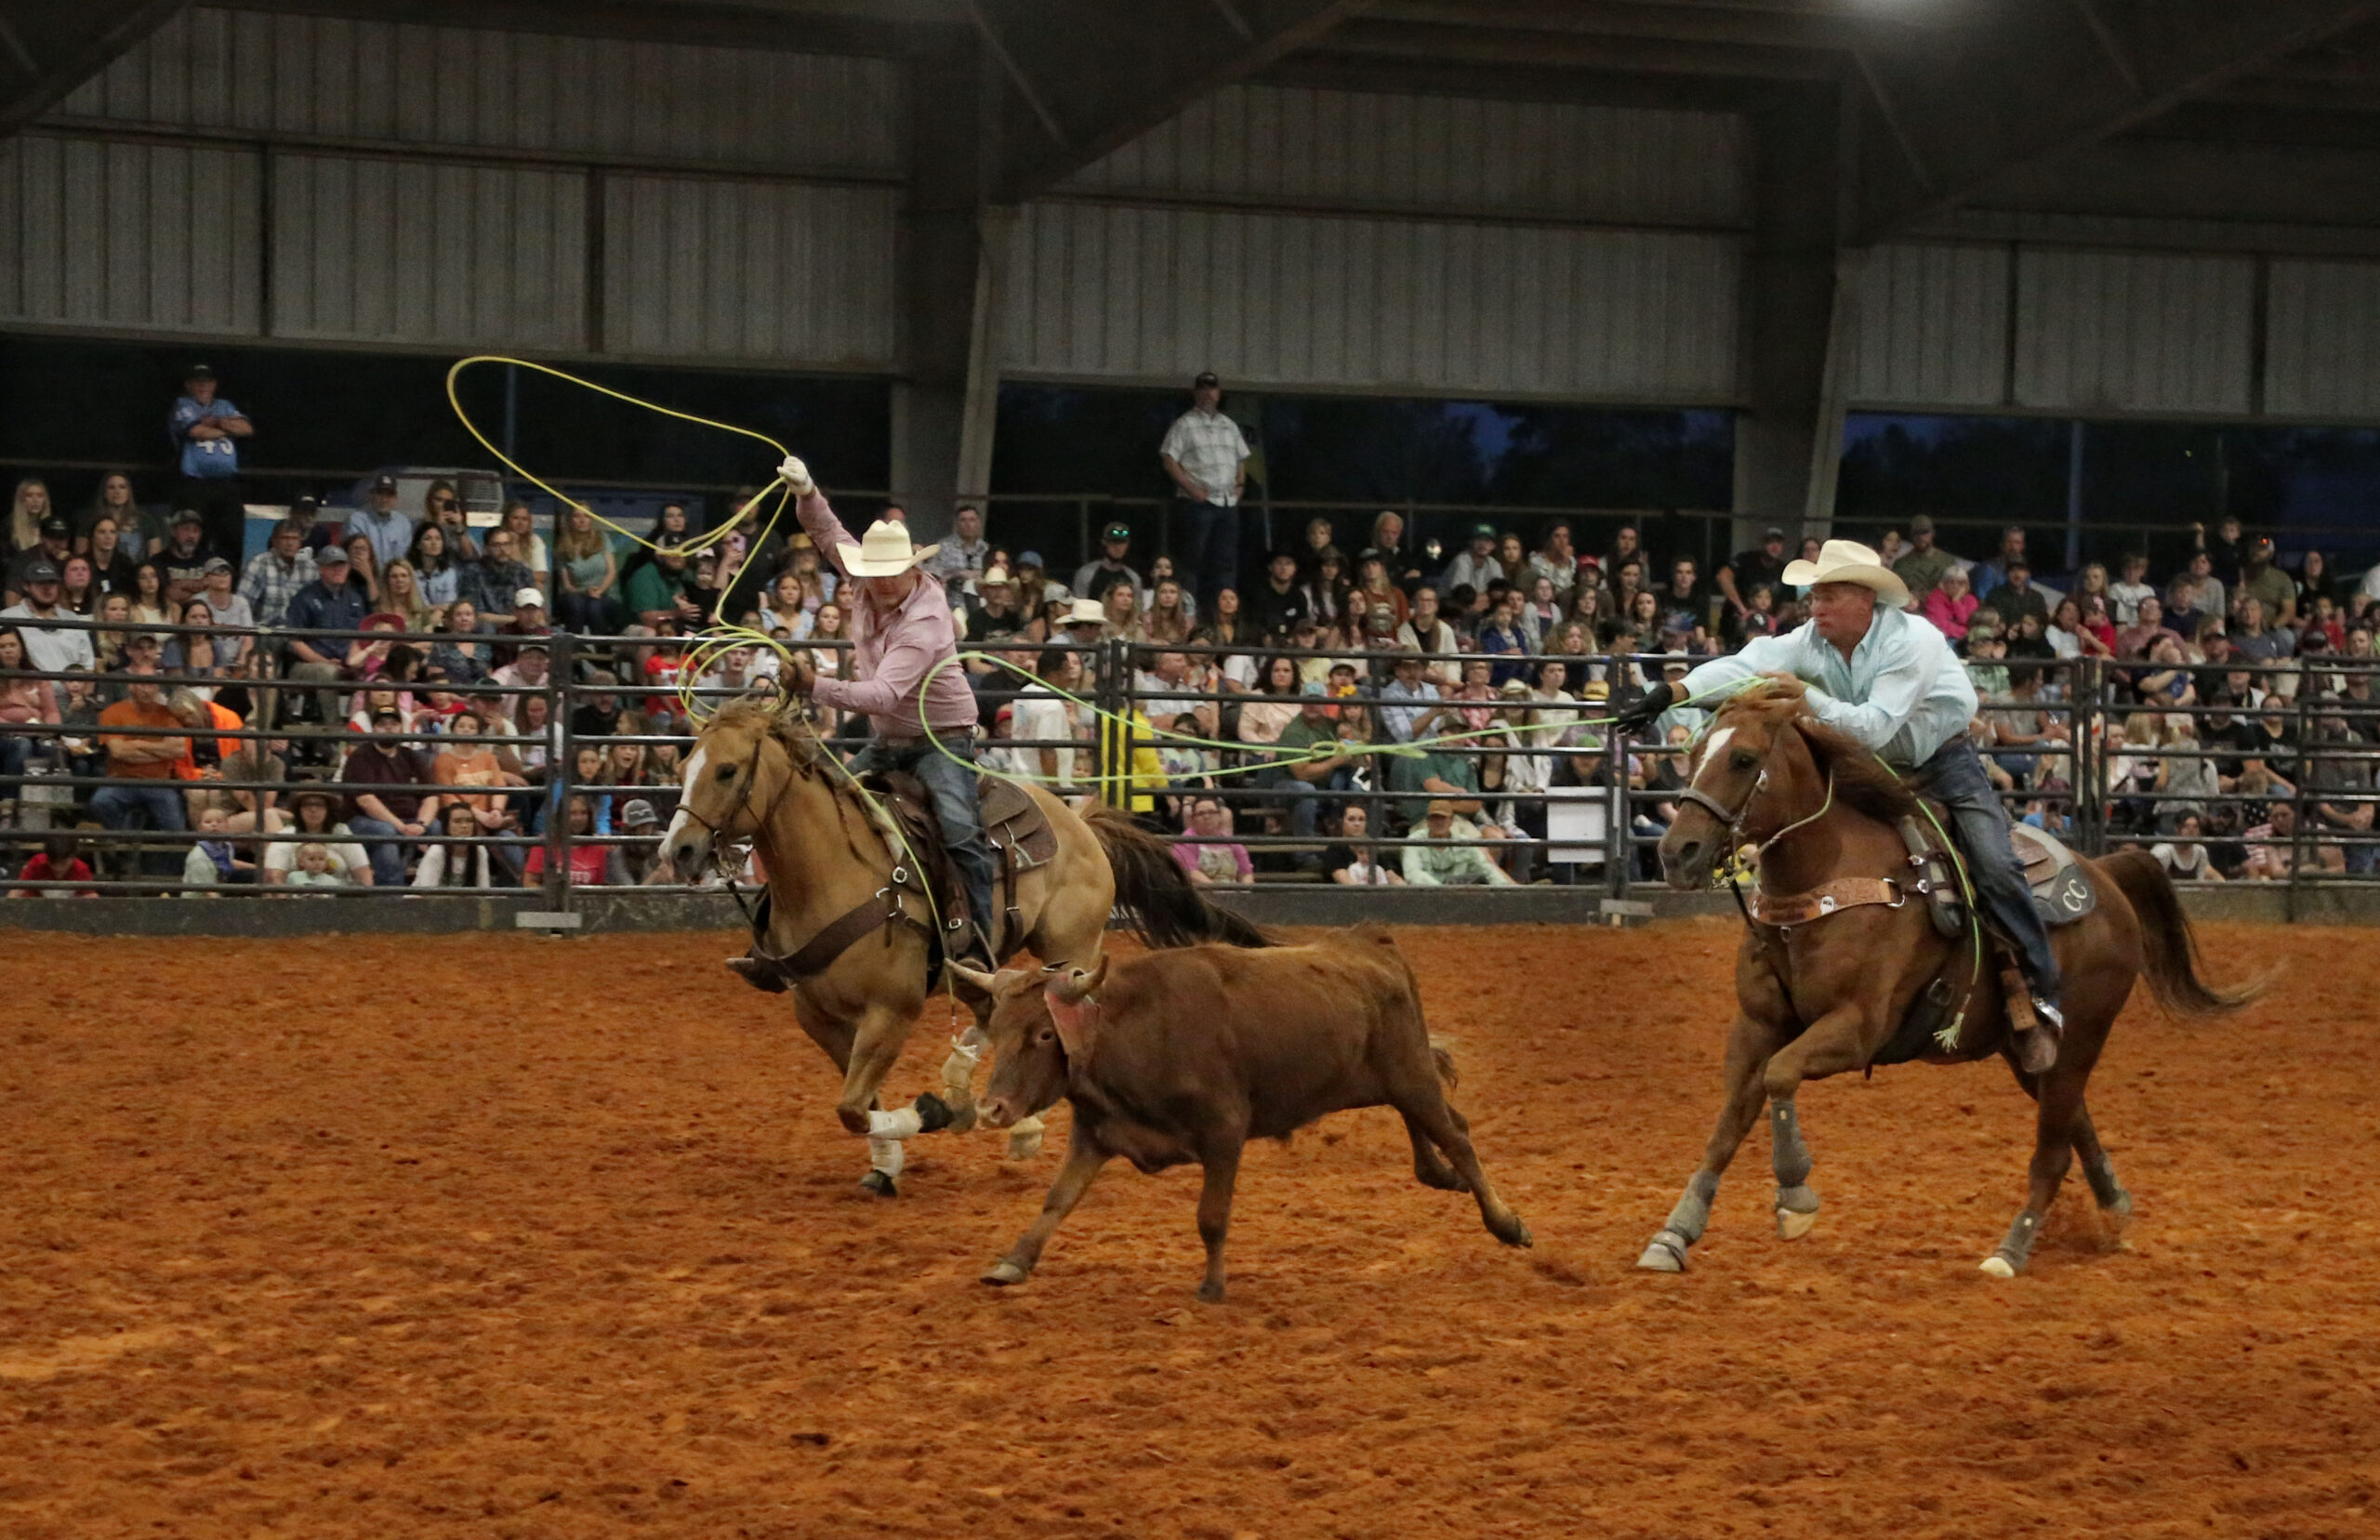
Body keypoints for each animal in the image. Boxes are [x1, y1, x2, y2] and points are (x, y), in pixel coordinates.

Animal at [670, 694, 1265, 1199]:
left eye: (726, 771)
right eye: (684, 769)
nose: (677, 850)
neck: (832, 874)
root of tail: (1080, 821)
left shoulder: (892, 1011)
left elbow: (854, 1107)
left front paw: (932, 1115)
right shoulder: (817, 1016)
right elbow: (857, 1103)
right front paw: (887, 1164)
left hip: (1071, 948)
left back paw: (1006, 1117)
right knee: (992, 1001)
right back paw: (966, 1086)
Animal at [1637, 685, 2246, 1275]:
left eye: (1743, 759)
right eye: (1694, 753)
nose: (1676, 853)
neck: (1827, 883)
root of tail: (2106, 876)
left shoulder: (1857, 1029)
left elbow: (1780, 1077)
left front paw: (1794, 1196)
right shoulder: (1757, 1026)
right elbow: (1730, 1121)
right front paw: (1674, 1234)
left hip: (2080, 1041)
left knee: (2052, 1152)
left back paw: (2011, 1251)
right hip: (2029, 1055)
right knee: (2076, 1123)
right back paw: (2114, 1210)